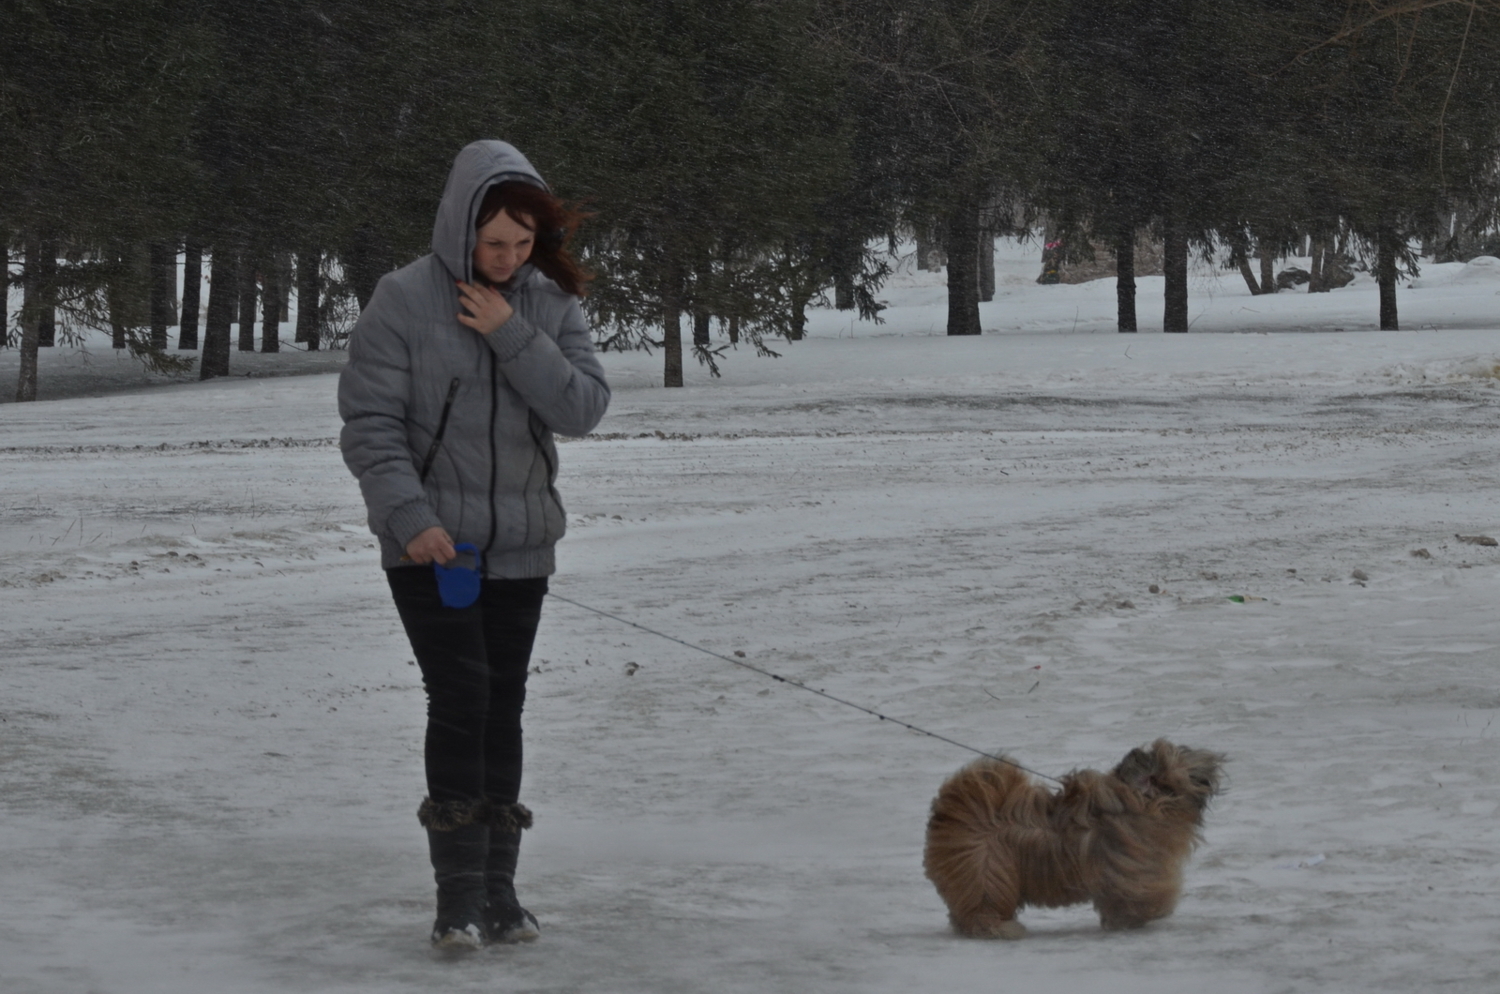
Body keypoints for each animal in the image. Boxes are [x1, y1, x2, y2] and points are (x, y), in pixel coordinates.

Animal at [918, 737, 1224, 941]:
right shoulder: (1131, 872)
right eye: (1181, 760)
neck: (1141, 803)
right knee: (982, 909)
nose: (1211, 765)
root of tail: (951, 818)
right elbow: (1141, 896)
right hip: (987, 876)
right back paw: (1000, 928)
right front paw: (1139, 917)